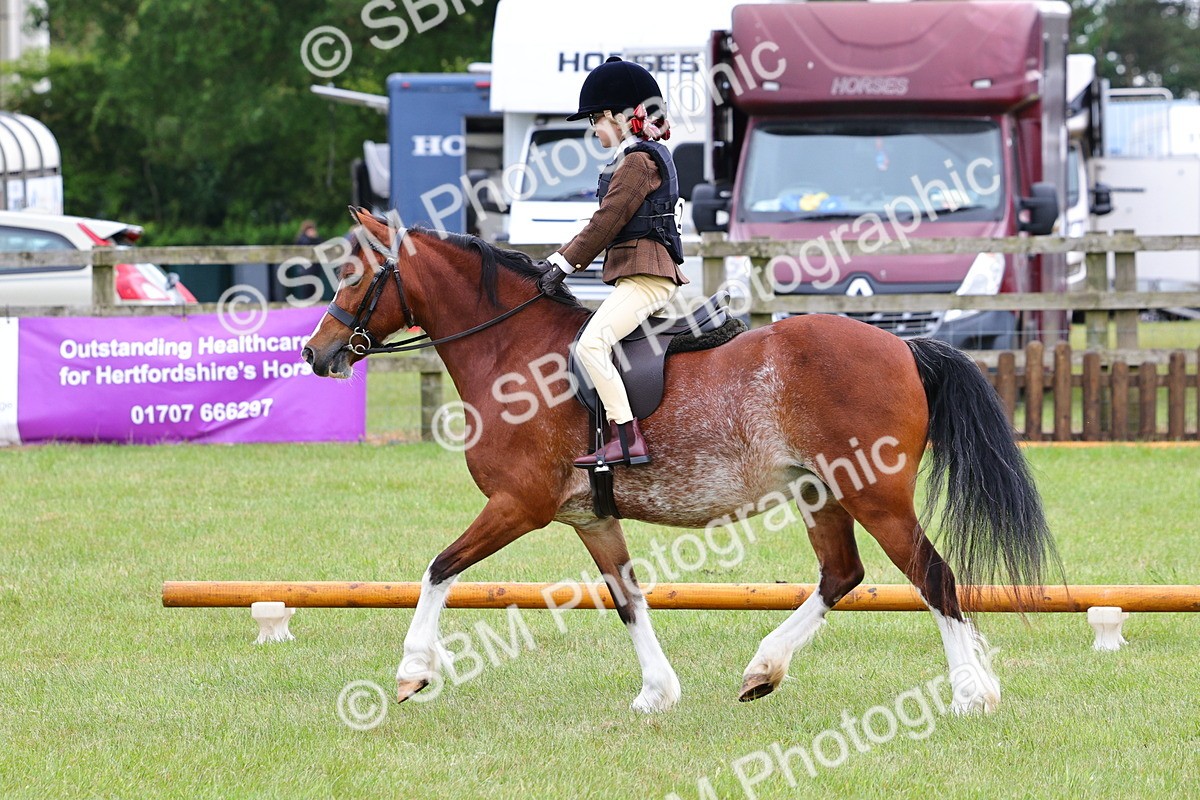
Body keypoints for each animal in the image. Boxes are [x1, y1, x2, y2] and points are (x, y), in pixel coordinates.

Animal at [302, 208, 1058, 715]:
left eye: (355, 275)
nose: (316, 352)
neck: (512, 353)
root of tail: (902, 346)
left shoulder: (520, 505)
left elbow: (438, 570)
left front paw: (412, 670)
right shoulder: (589, 517)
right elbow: (628, 599)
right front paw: (657, 693)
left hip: (875, 495)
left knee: (933, 576)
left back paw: (972, 693)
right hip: (820, 493)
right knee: (841, 575)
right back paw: (763, 669)